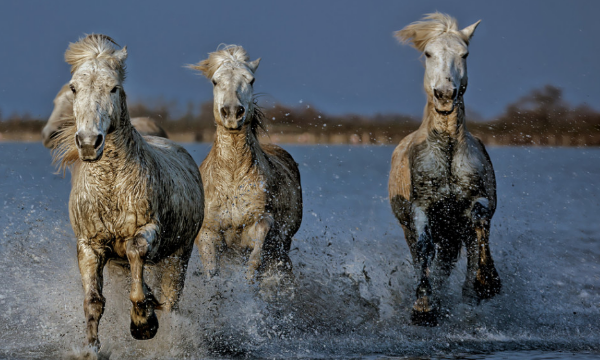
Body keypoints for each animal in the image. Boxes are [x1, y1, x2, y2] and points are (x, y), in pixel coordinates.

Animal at [54, 33, 204, 348]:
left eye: (114, 87)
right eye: (74, 87)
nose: (89, 143)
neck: (111, 186)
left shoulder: (148, 230)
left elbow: (136, 253)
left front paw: (143, 323)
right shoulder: (89, 245)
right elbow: (93, 302)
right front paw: (92, 347)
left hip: (178, 256)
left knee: (171, 300)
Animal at [390, 12, 502, 326]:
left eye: (464, 54)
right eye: (429, 53)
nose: (445, 95)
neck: (448, 150)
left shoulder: (476, 201)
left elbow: (479, 221)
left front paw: (487, 283)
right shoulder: (421, 207)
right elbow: (424, 248)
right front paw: (423, 308)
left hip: (452, 231)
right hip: (415, 228)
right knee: (425, 257)